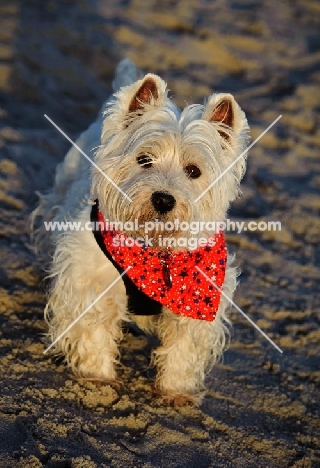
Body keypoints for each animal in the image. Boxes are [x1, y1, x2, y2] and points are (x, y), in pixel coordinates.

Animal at [33, 59, 250, 406]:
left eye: (194, 170)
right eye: (144, 159)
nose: (162, 199)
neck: (155, 250)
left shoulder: (199, 299)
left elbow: (183, 349)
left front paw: (176, 392)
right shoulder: (92, 285)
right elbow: (93, 334)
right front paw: (98, 379)